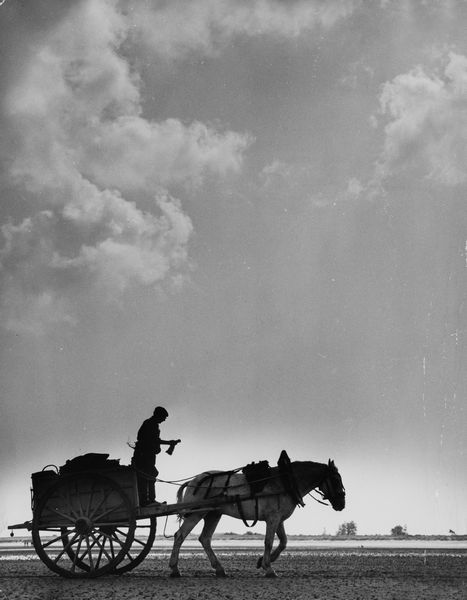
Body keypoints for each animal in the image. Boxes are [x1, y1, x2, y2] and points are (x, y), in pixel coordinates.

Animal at [168, 458, 344, 580]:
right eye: (336, 480)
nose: (342, 504)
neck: (286, 481)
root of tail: (192, 481)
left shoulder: (279, 519)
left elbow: (283, 542)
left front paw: (263, 561)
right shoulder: (272, 518)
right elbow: (269, 542)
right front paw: (269, 568)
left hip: (213, 514)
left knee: (205, 538)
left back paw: (219, 569)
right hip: (197, 513)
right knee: (180, 535)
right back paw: (175, 569)